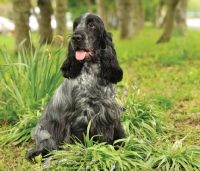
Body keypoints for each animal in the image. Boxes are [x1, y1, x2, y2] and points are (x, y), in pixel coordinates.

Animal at [27, 12, 126, 160]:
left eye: (92, 25)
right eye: (75, 26)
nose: (75, 37)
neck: (94, 74)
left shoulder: (109, 110)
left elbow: (117, 132)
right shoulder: (80, 116)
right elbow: (80, 139)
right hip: (45, 135)